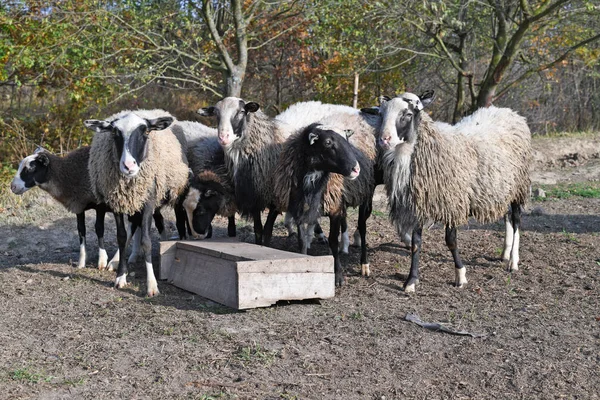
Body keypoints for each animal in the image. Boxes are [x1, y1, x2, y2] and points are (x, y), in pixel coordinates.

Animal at [84, 109, 190, 296]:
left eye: (146, 131)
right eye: (114, 133)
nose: (128, 166)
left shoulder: (148, 200)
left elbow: (147, 241)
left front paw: (152, 285)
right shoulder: (118, 202)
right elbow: (122, 237)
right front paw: (120, 276)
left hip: (176, 191)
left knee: (175, 220)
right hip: (137, 202)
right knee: (139, 225)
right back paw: (127, 257)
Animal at [276, 119, 378, 288]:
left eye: (346, 139)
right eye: (328, 142)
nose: (356, 169)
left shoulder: (335, 210)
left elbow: (333, 241)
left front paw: (338, 276)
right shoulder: (299, 208)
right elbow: (301, 241)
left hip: (365, 199)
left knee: (362, 229)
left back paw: (364, 264)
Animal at [372, 90, 532, 290]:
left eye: (407, 114)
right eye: (381, 114)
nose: (384, 140)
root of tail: (510, 113)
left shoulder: (453, 201)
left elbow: (451, 240)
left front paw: (460, 275)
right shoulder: (419, 202)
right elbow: (416, 243)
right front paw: (411, 281)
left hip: (519, 187)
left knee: (517, 220)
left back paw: (513, 261)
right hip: (501, 188)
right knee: (507, 217)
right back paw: (505, 252)